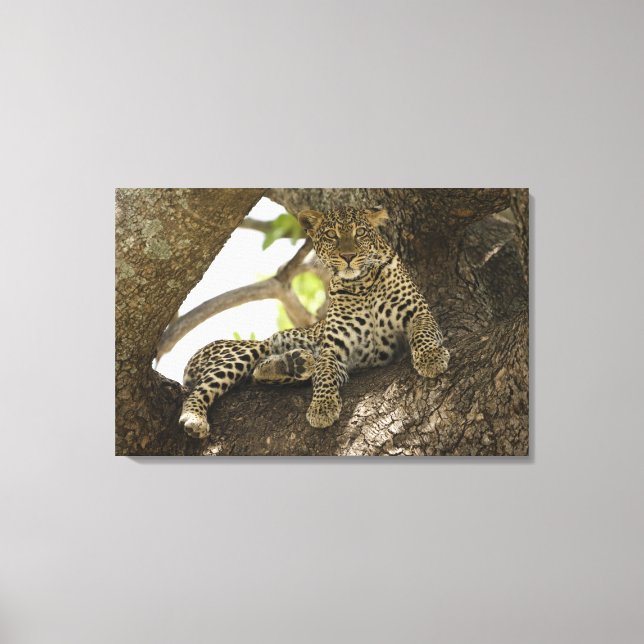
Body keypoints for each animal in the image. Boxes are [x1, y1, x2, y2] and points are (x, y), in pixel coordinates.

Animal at [179, 206, 450, 438]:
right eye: (331, 235)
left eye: (360, 232)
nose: (348, 256)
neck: (361, 285)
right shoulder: (333, 349)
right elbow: (324, 373)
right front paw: (322, 407)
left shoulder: (418, 312)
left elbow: (423, 333)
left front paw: (431, 359)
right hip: (245, 350)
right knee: (204, 388)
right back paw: (194, 418)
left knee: (259, 372)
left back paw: (293, 363)